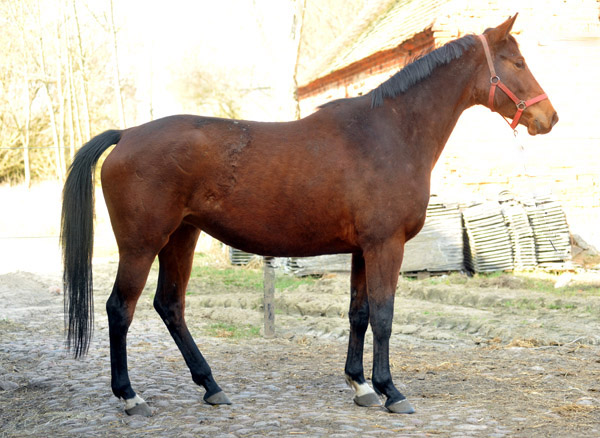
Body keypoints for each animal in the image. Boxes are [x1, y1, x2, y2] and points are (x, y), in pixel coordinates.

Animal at [61, 15, 556, 416]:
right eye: (516, 62)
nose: (548, 118)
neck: (391, 132)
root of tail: (127, 135)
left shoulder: (362, 249)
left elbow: (359, 313)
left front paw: (360, 386)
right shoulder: (386, 246)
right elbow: (384, 315)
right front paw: (391, 391)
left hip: (182, 237)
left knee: (170, 306)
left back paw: (211, 385)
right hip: (142, 245)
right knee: (120, 309)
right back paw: (130, 396)